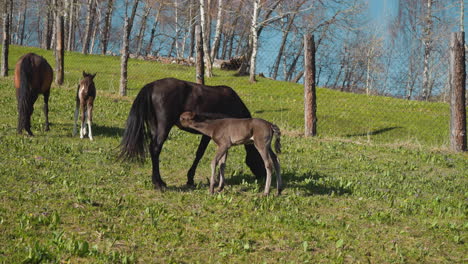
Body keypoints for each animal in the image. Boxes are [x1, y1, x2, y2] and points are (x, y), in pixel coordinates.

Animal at [119, 77, 266, 189]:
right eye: (260, 158)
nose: (264, 175)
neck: (233, 103)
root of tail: (152, 85)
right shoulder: (210, 135)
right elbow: (200, 154)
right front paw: (192, 179)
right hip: (164, 127)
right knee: (155, 149)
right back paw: (159, 183)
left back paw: (156, 181)